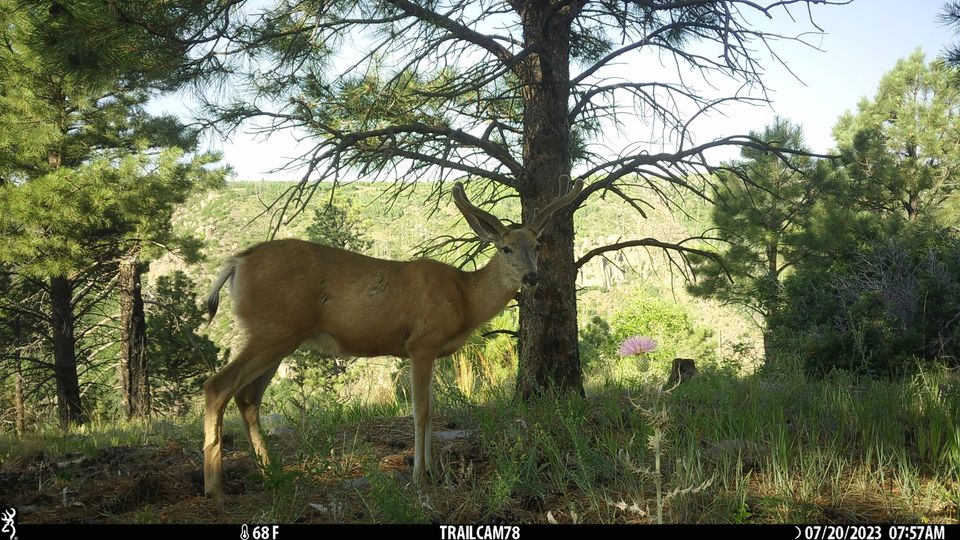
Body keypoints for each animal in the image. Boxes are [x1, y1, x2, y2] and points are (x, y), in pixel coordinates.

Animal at [201, 177, 583, 504]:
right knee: (218, 386)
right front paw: (418, 477)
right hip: (273, 329)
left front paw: (434, 472)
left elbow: (433, 409)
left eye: (537, 245)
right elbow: (421, 410)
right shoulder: (421, 343)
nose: (532, 277)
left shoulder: (432, 351)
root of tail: (236, 262)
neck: (465, 299)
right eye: (505, 248)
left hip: (282, 336)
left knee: (247, 397)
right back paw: (216, 489)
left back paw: (273, 474)